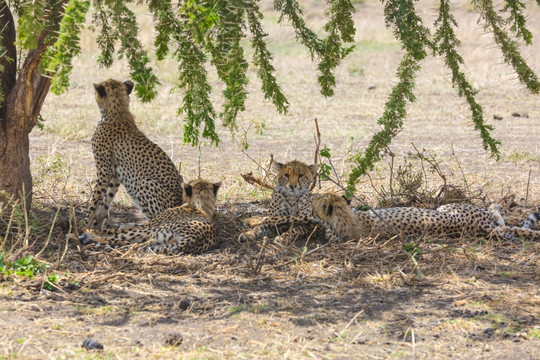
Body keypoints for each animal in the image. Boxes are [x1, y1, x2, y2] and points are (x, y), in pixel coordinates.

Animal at [79, 179, 221, 253]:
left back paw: (85, 235)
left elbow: (113, 229)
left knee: (111, 238)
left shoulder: (150, 225)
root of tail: (191, 240)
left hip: (149, 232)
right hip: (155, 239)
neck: (201, 205)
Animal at [85, 80, 184, 229]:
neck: (117, 111)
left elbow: (95, 201)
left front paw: (85, 225)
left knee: (156, 224)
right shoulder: (116, 173)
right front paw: (98, 225)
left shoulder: (104, 171)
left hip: (146, 183)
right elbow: (107, 199)